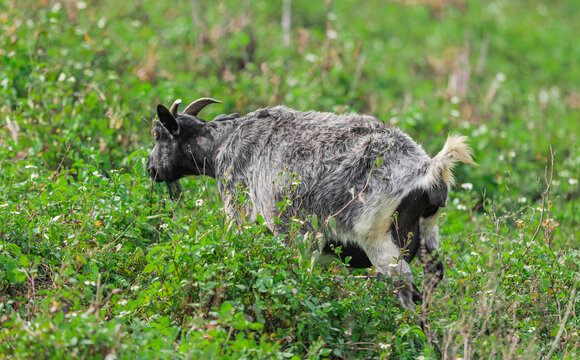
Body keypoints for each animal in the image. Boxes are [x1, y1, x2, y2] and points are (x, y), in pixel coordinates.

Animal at [146, 97, 476, 308]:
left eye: (159, 134)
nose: (150, 168)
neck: (223, 143)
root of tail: (429, 171)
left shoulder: (238, 206)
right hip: (428, 235)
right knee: (431, 281)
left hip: (382, 242)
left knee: (407, 293)